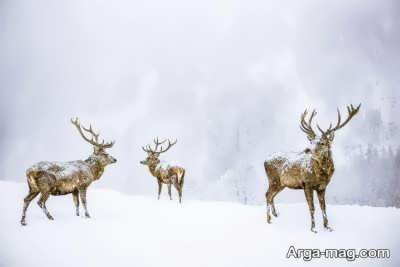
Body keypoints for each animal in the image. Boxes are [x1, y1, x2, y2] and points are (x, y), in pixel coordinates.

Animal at [264, 103, 360, 233]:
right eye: (312, 141)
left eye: (322, 143)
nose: (308, 149)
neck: (321, 175)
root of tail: (265, 161)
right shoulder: (307, 184)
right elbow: (312, 207)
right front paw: (313, 228)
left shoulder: (322, 187)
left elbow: (323, 206)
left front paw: (327, 226)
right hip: (273, 179)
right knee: (268, 194)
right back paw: (269, 219)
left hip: (281, 184)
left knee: (271, 195)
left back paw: (275, 214)